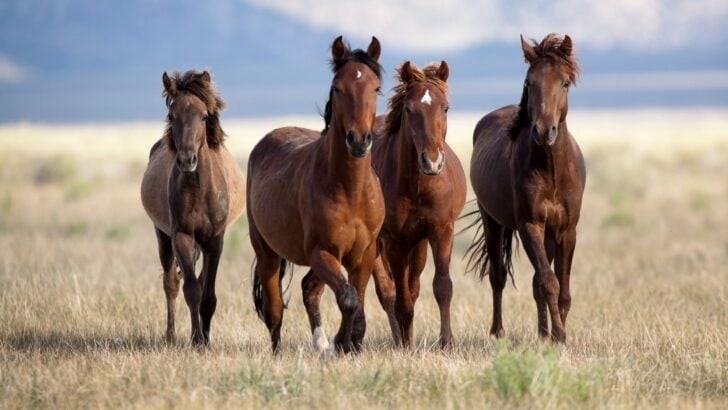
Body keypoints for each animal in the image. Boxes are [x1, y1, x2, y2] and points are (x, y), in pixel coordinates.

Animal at [141, 70, 245, 345]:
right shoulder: (182, 236)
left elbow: (208, 294)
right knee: (171, 283)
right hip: (162, 236)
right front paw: (197, 340)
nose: (187, 160)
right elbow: (191, 290)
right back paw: (171, 335)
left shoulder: (214, 241)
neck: (199, 190)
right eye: (171, 116)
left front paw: (205, 339)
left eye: (204, 116)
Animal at [247, 36, 385, 354]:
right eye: (338, 87)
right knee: (275, 310)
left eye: (376, 88)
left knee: (309, 289)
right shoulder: (322, 252)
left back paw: (321, 344)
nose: (358, 141)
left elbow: (357, 300)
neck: (350, 191)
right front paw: (342, 343)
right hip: (267, 253)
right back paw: (280, 353)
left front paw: (349, 343)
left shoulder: (364, 254)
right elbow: (349, 298)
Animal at [300, 61, 466, 349]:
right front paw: (406, 346)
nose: (432, 161)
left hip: (417, 244)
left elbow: (442, 287)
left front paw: (446, 342)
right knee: (389, 293)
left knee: (412, 287)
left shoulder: (441, 230)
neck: (417, 186)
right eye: (409, 110)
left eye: (445, 107)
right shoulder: (394, 242)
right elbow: (400, 299)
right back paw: (398, 339)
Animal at [468, 33, 585, 343]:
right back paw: (498, 332)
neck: (551, 171)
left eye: (564, 82)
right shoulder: (530, 225)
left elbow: (562, 290)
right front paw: (559, 337)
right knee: (498, 277)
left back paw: (542, 334)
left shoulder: (566, 230)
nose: (544, 131)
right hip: (492, 221)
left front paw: (556, 334)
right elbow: (549, 283)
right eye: (529, 82)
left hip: (547, 234)